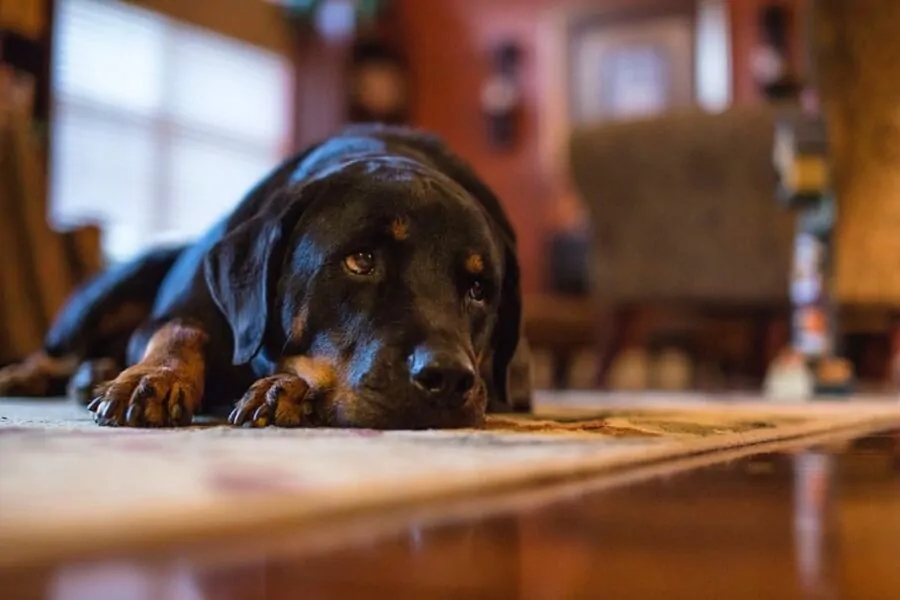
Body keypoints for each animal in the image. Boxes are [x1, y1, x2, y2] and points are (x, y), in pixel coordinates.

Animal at [0, 124, 532, 428]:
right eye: (360, 260)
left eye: (479, 289)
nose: (446, 377)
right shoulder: (186, 307)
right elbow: (179, 330)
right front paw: (156, 377)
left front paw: (286, 388)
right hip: (112, 290)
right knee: (61, 350)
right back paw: (38, 373)